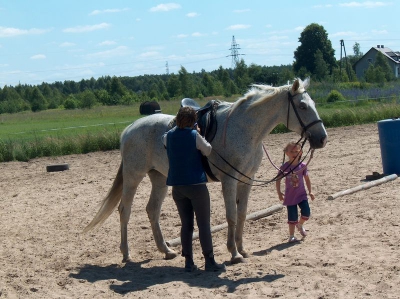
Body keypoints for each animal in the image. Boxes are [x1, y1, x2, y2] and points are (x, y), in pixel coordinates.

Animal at [84, 78, 328, 264]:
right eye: (303, 106)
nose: (322, 139)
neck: (245, 129)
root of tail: (129, 129)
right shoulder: (229, 181)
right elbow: (231, 215)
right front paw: (233, 253)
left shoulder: (246, 181)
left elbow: (242, 214)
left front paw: (242, 248)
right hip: (133, 176)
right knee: (124, 211)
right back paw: (126, 254)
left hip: (159, 178)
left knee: (152, 210)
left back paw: (166, 251)